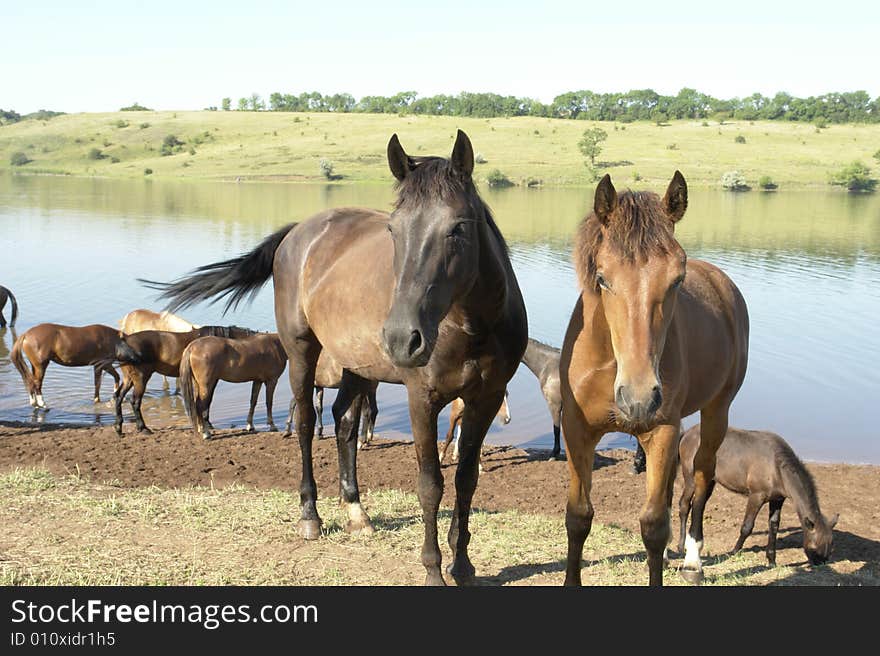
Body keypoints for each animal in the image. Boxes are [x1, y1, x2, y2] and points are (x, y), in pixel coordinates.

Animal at [107, 324, 254, 436]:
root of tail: (126, 341)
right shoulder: (210, 380)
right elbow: (207, 401)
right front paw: (207, 424)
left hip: (129, 378)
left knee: (119, 396)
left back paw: (118, 427)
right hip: (141, 379)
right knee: (135, 401)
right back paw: (143, 428)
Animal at [147, 131, 524, 588]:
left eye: (458, 227)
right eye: (393, 229)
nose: (402, 338)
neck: (472, 325)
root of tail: (299, 232)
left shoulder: (486, 398)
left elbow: (466, 479)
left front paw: (463, 566)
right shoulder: (422, 399)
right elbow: (430, 484)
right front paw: (434, 570)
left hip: (356, 365)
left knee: (344, 421)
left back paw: (356, 511)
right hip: (301, 352)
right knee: (307, 423)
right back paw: (310, 516)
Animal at [560, 173, 752, 584]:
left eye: (677, 279)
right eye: (602, 278)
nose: (638, 398)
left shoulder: (662, 429)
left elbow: (653, 525)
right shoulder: (577, 430)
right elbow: (579, 517)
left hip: (717, 411)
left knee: (701, 478)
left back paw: (692, 558)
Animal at [680, 426, 840, 568]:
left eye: (831, 546)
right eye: (814, 545)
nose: (820, 564)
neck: (776, 467)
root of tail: (687, 433)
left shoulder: (777, 500)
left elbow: (774, 526)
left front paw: (771, 560)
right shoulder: (756, 496)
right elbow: (747, 527)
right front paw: (734, 551)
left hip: (709, 482)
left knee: (698, 506)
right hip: (691, 479)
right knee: (685, 505)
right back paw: (681, 546)